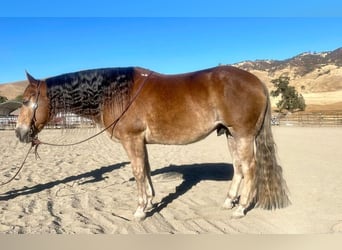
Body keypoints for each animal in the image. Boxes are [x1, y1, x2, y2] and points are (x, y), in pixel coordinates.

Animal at [15, 65, 288, 220]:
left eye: (27, 101)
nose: (19, 132)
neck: (116, 93)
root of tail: (258, 83)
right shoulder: (140, 142)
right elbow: (145, 169)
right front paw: (151, 201)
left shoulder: (132, 139)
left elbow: (137, 171)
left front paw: (140, 210)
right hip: (231, 135)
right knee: (238, 168)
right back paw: (229, 201)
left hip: (243, 136)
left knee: (250, 169)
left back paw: (240, 208)